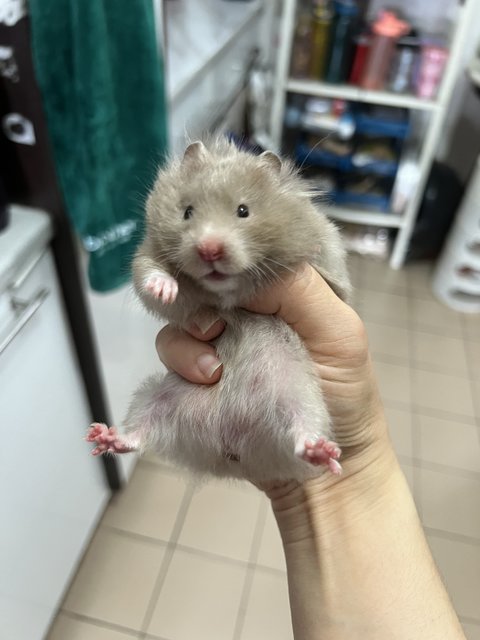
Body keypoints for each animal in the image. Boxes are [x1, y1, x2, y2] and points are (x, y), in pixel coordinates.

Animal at [85, 138, 348, 482]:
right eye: (187, 211)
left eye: (243, 211)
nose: (208, 250)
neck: (227, 291)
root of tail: (229, 453)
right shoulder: (155, 264)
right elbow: (151, 276)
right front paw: (164, 289)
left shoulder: (331, 260)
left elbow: (327, 268)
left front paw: (309, 255)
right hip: (154, 397)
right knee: (139, 433)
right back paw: (102, 436)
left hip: (300, 394)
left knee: (302, 430)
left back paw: (323, 452)